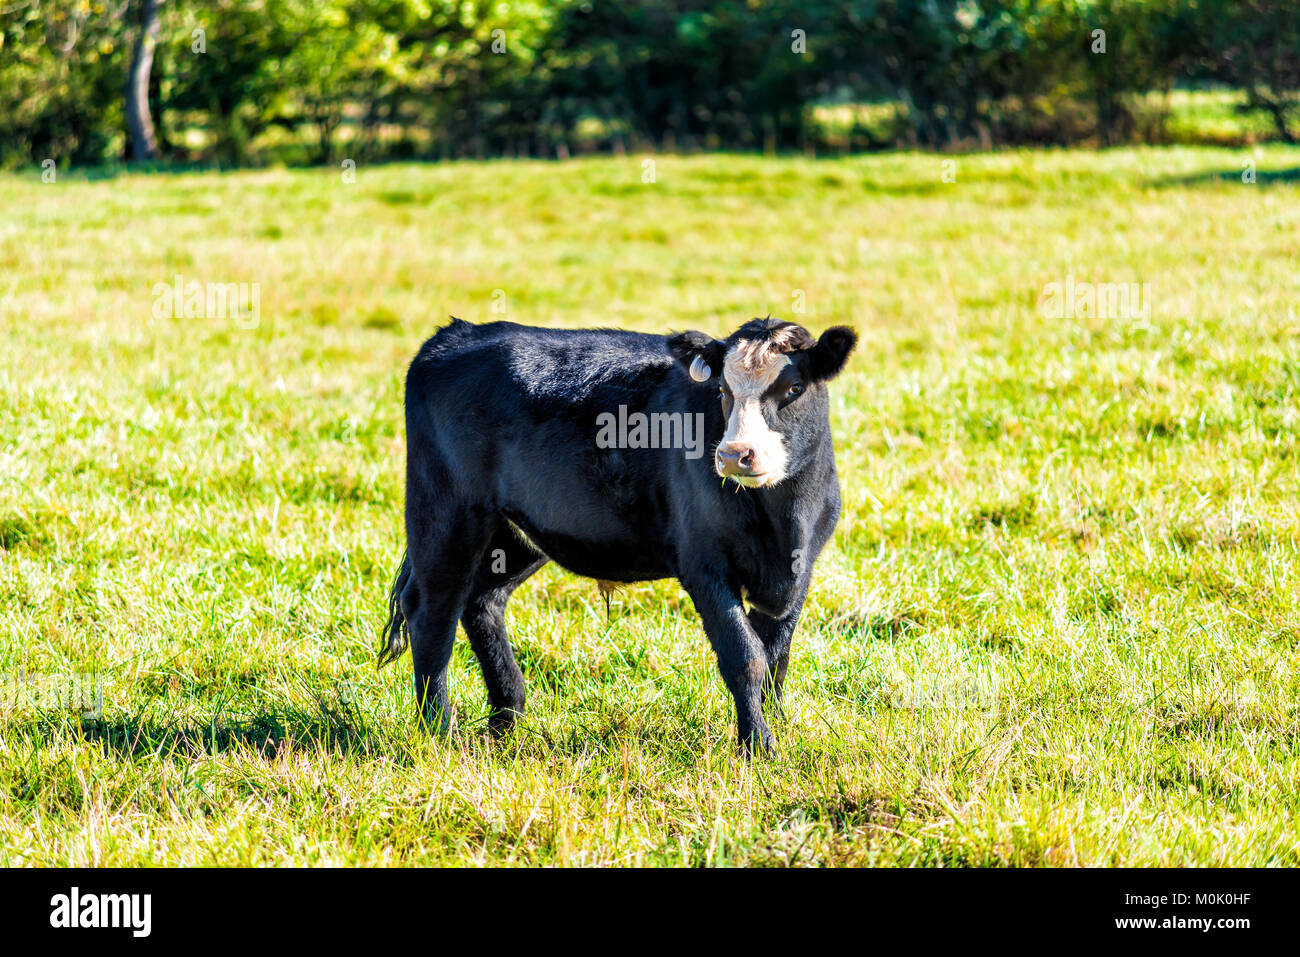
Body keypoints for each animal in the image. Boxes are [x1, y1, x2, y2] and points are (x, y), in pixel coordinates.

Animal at [379, 316, 857, 753]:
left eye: (793, 388)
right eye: (722, 390)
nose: (734, 454)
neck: (784, 522)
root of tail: (459, 332)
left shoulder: (801, 567)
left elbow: (777, 657)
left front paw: (779, 730)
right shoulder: (703, 564)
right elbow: (746, 657)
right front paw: (758, 746)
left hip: (515, 533)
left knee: (482, 602)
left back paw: (507, 718)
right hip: (445, 513)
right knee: (432, 613)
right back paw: (439, 732)